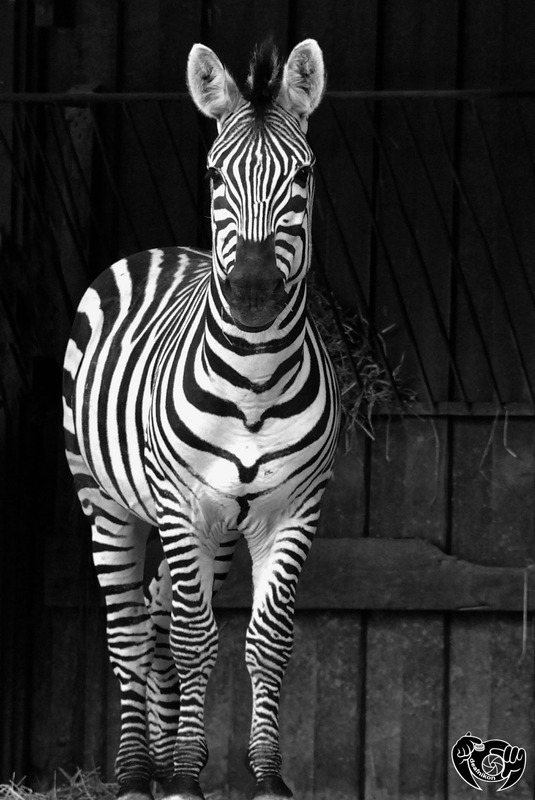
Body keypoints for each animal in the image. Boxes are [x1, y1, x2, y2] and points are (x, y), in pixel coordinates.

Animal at [63, 39, 340, 800]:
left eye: (303, 175)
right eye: (215, 175)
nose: (251, 294)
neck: (254, 382)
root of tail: (162, 250)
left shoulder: (293, 510)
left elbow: (265, 641)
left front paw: (263, 777)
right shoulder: (184, 506)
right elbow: (194, 640)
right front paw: (187, 776)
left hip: (212, 527)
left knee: (159, 615)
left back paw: (161, 762)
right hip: (107, 501)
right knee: (132, 629)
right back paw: (137, 772)